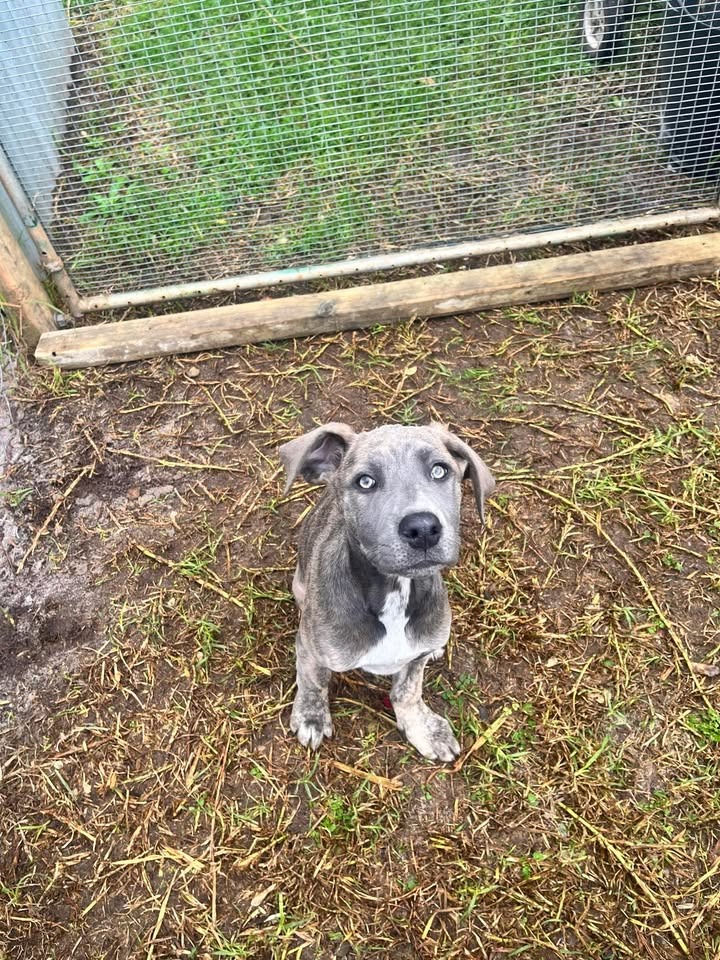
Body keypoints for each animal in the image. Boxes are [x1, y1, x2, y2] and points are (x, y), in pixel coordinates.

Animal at [279, 422, 495, 761]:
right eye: (365, 481)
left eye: (439, 471)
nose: (423, 528)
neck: (394, 593)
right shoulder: (312, 650)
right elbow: (313, 680)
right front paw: (311, 716)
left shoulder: (415, 657)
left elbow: (408, 691)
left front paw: (424, 729)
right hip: (299, 585)